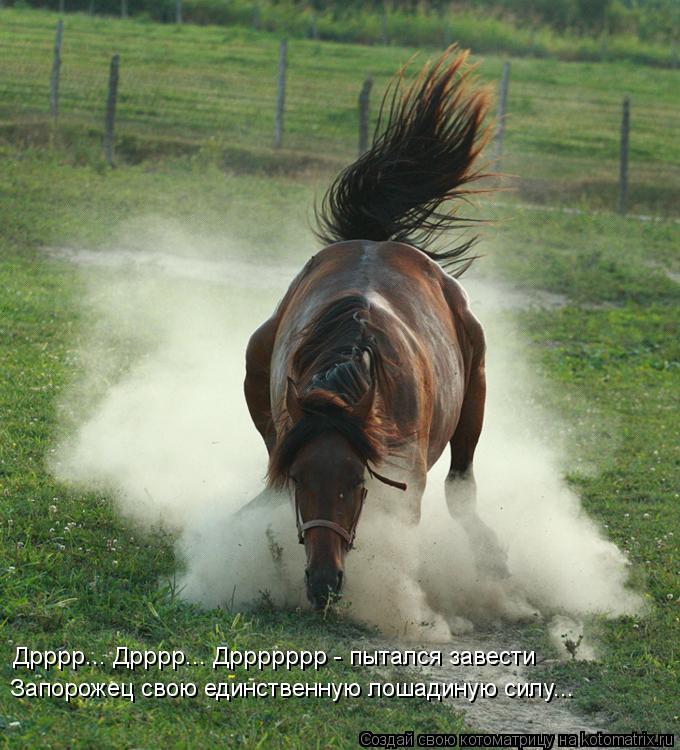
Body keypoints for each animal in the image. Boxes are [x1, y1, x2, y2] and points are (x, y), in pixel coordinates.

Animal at [244, 48, 500, 612]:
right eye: (300, 479)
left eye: (355, 481)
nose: (323, 582)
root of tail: (376, 239)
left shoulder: (405, 483)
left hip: (475, 399)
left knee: (463, 488)